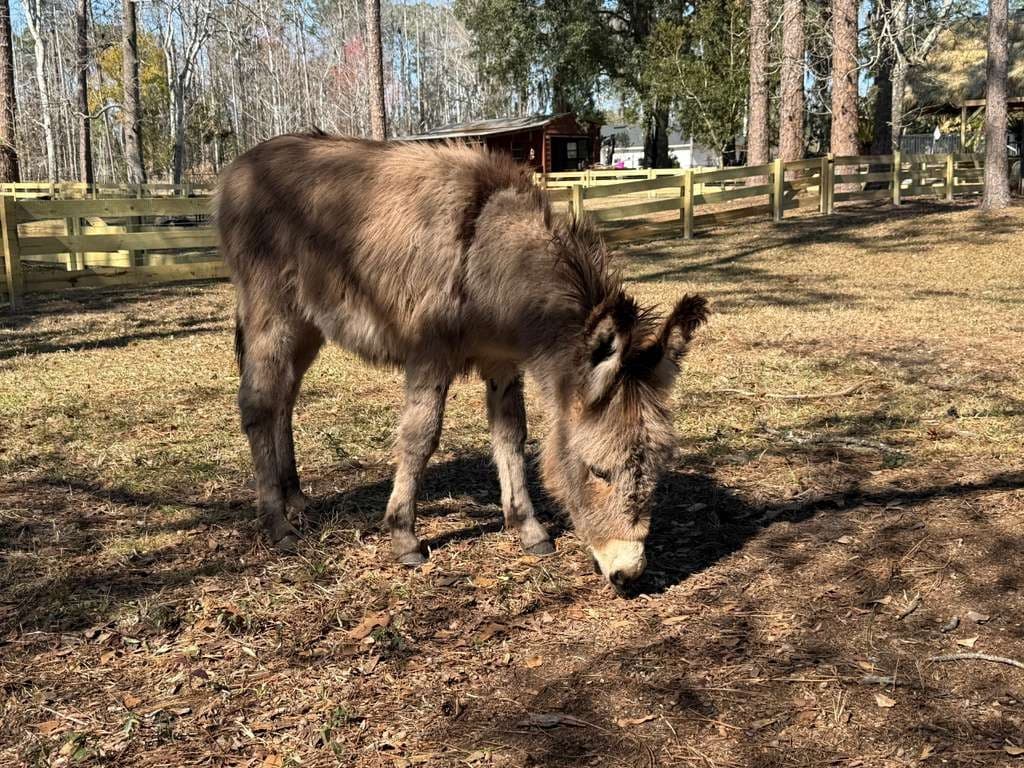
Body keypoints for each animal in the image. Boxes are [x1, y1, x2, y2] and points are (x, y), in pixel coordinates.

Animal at [215, 133, 707, 592]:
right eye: (598, 471)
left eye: (656, 473)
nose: (629, 575)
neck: (493, 260)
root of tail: (243, 162)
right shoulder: (430, 354)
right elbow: (421, 437)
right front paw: (404, 535)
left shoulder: (503, 362)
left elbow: (511, 436)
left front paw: (527, 526)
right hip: (271, 311)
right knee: (258, 402)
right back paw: (277, 521)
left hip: (308, 324)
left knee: (284, 399)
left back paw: (296, 497)